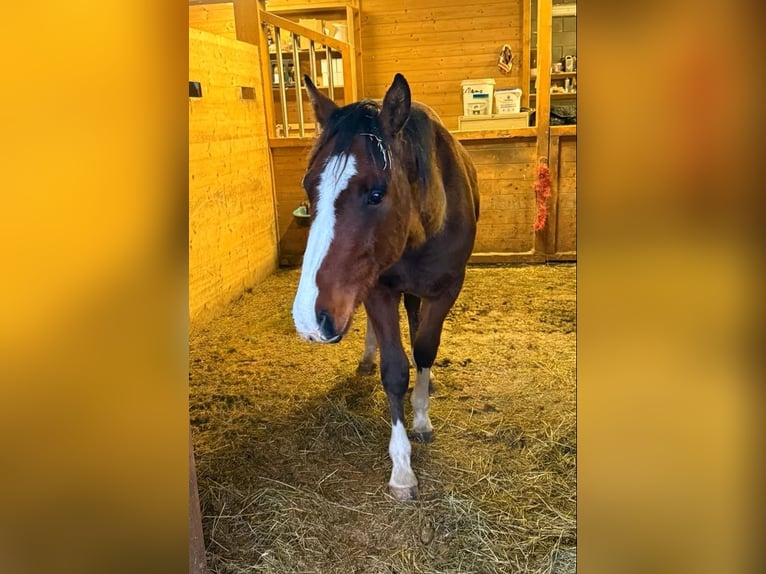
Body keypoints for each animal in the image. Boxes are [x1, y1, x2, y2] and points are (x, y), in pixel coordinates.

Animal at [292, 73, 480, 500]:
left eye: (376, 193)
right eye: (309, 188)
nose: (310, 321)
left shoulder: (447, 289)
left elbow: (425, 348)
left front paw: (422, 415)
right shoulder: (379, 289)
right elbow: (394, 370)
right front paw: (402, 469)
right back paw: (367, 356)